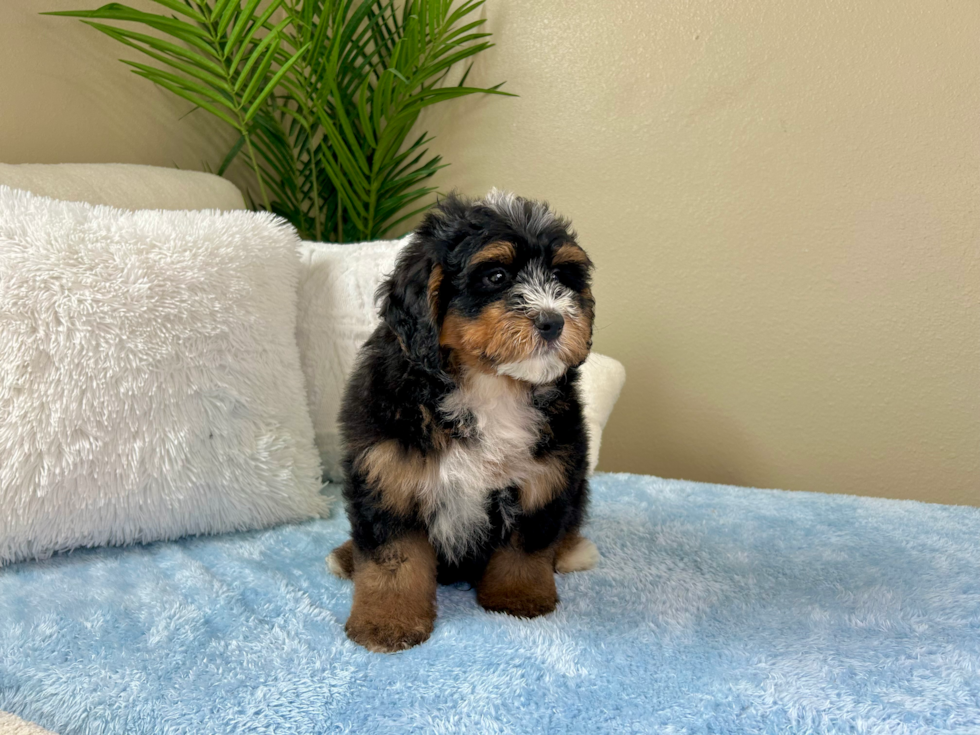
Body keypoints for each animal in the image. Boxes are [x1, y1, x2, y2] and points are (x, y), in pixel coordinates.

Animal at [330, 193, 596, 652]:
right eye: (496, 275)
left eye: (563, 277)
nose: (554, 321)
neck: (489, 385)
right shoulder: (387, 474)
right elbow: (391, 559)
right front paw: (386, 622)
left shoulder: (545, 474)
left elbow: (526, 546)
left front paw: (518, 597)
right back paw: (347, 555)